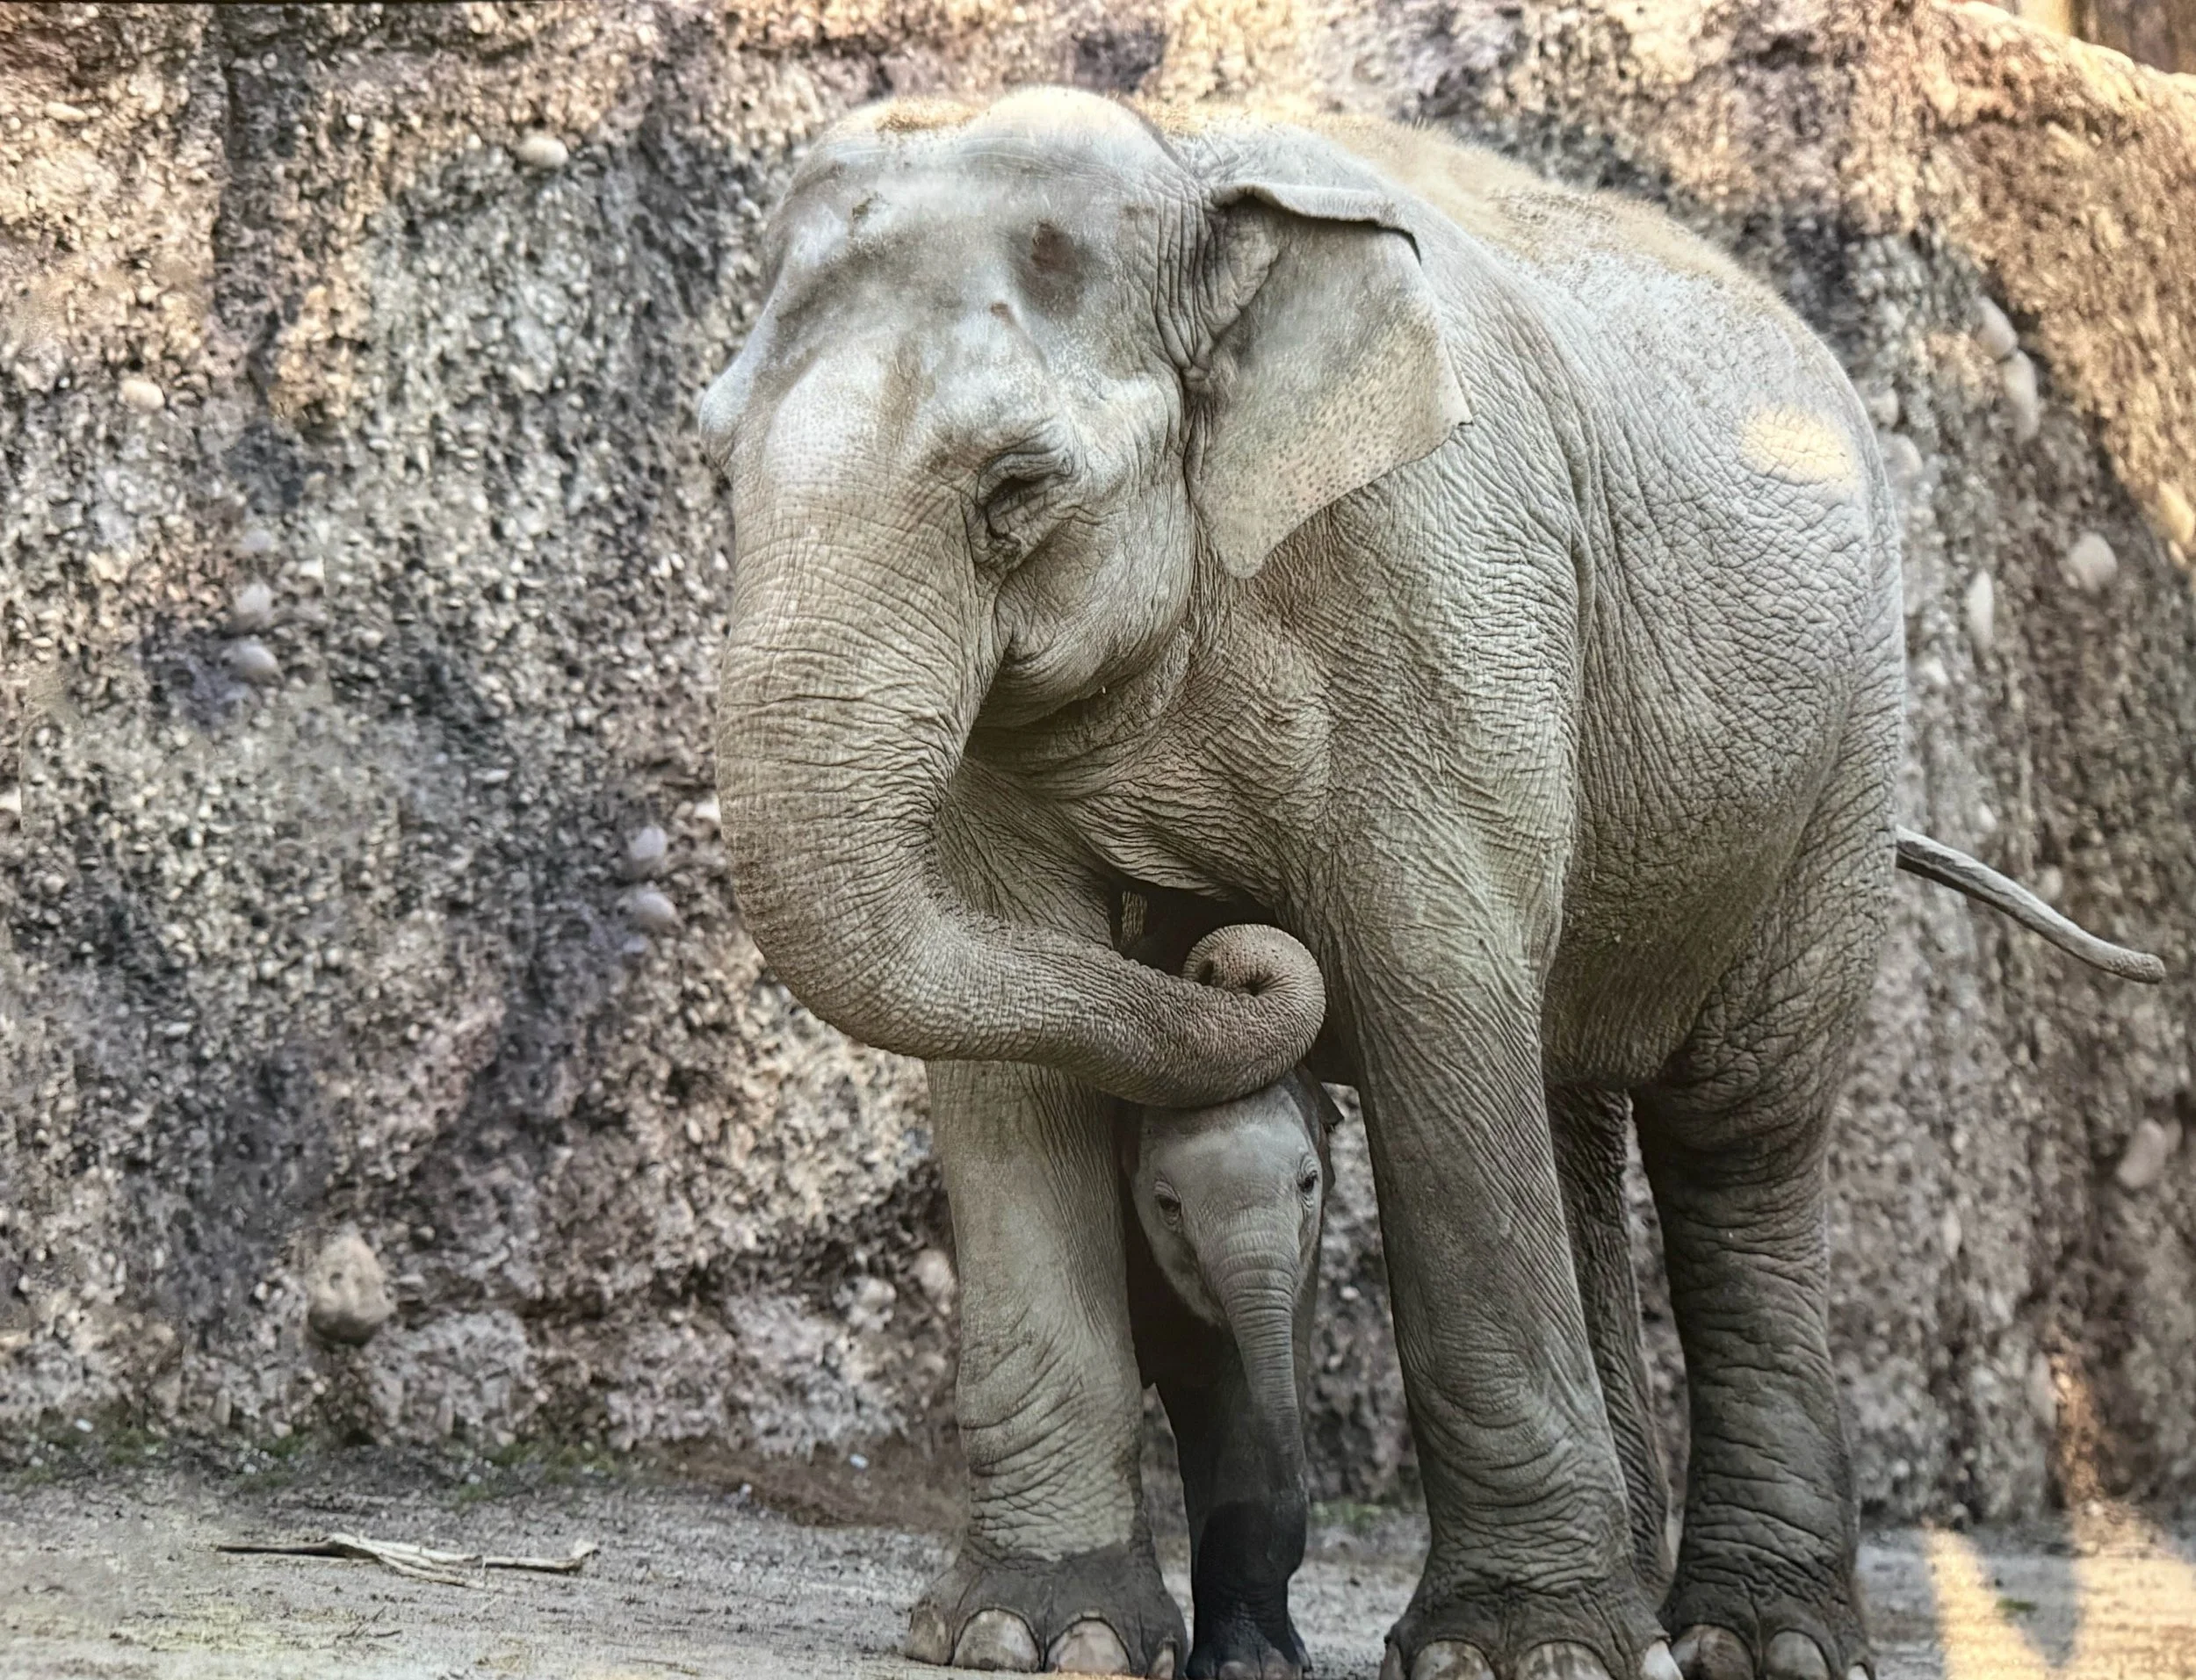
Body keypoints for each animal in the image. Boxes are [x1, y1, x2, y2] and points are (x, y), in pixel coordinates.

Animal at [696, 89, 2165, 1680]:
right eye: (716, 471)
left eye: (1016, 485)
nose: (1221, 940)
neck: (1194, 184)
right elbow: (1011, 1046)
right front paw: (1040, 1631)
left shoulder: (1437, 584)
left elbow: (1430, 989)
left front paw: (1521, 1652)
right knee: (1571, 1105)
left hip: (1844, 748)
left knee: (1738, 1130)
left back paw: (1751, 1639)